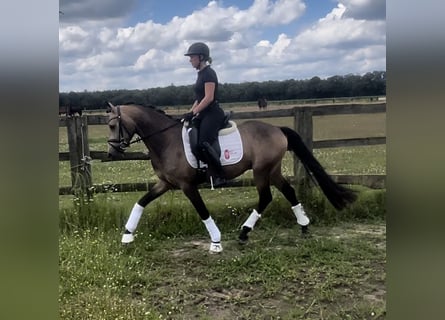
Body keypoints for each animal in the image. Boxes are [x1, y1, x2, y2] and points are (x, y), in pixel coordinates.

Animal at [106, 102, 356, 252]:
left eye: (112, 125)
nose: (111, 153)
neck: (167, 141)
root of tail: (277, 129)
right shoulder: (165, 183)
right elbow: (141, 202)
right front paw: (127, 235)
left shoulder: (187, 186)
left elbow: (203, 212)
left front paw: (216, 242)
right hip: (272, 170)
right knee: (289, 191)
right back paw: (303, 226)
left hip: (261, 171)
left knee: (265, 198)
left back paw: (244, 233)